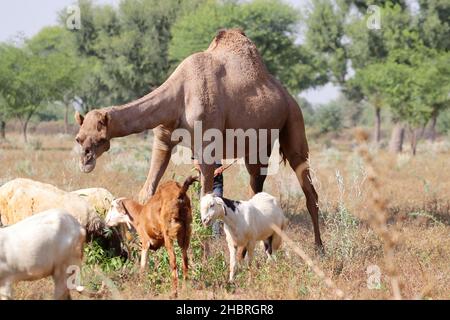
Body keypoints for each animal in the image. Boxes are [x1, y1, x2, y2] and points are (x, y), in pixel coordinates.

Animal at [75, 28, 324, 248]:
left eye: (99, 138)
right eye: (78, 138)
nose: (85, 161)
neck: (178, 96)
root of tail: (287, 96)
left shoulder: (207, 146)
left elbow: (206, 198)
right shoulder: (163, 139)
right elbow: (147, 192)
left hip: (294, 122)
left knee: (308, 189)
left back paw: (319, 248)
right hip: (257, 146)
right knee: (256, 184)